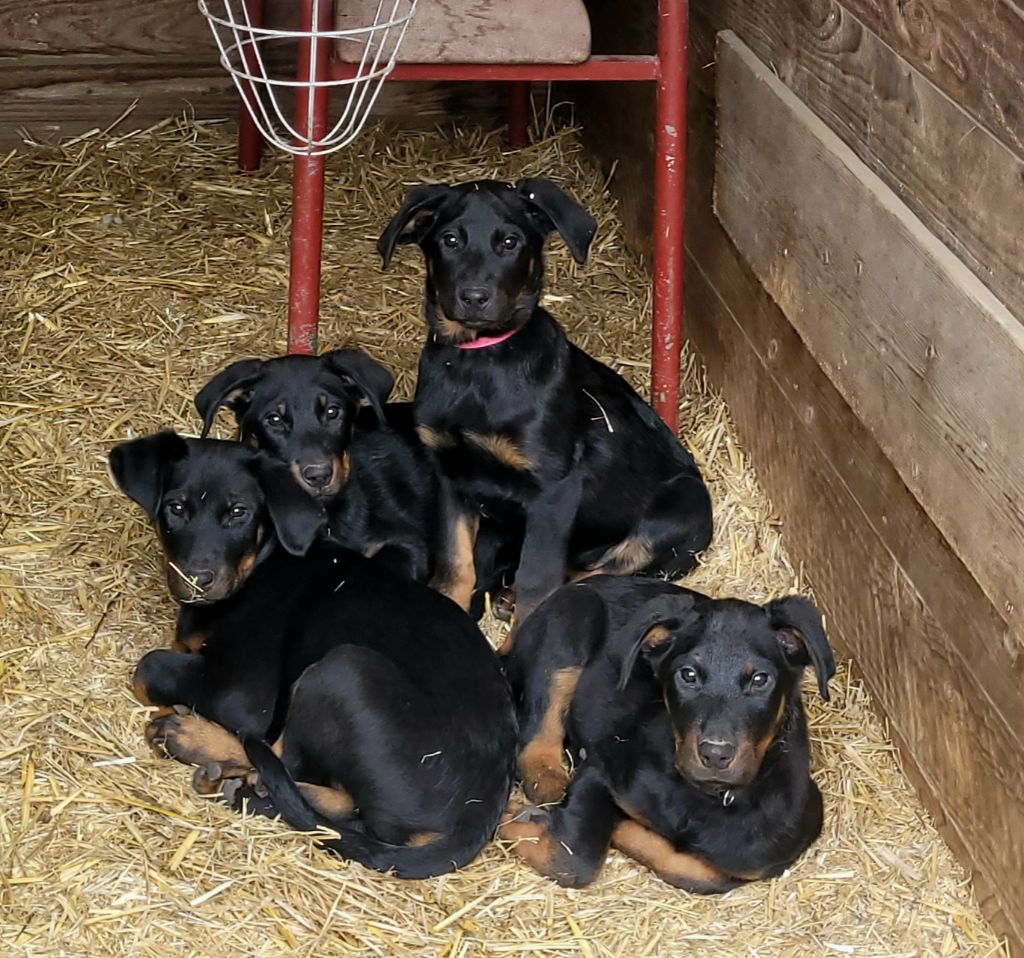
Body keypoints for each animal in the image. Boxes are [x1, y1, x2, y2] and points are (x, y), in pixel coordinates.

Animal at [110, 431, 520, 876]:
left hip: (340, 671)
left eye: (239, 513)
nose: (198, 580)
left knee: (286, 764)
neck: (260, 562)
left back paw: (192, 741)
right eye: (176, 508)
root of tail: (476, 816)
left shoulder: (243, 693)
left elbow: (148, 667)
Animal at [376, 180, 712, 626]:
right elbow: (455, 564)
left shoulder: (553, 489)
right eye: (450, 240)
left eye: (509, 242)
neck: (477, 364)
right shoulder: (449, 474)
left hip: (676, 517)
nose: (474, 297)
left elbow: (538, 580)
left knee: (603, 572)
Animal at [499, 569, 835, 892]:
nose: (715, 753)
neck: (709, 797)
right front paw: (513, 817)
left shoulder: (761, 854)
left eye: (760, 679)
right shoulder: (602, 769)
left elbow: (698, 870)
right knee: (536, 744)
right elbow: (574, 857)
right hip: (570, 623)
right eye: (688, 675)